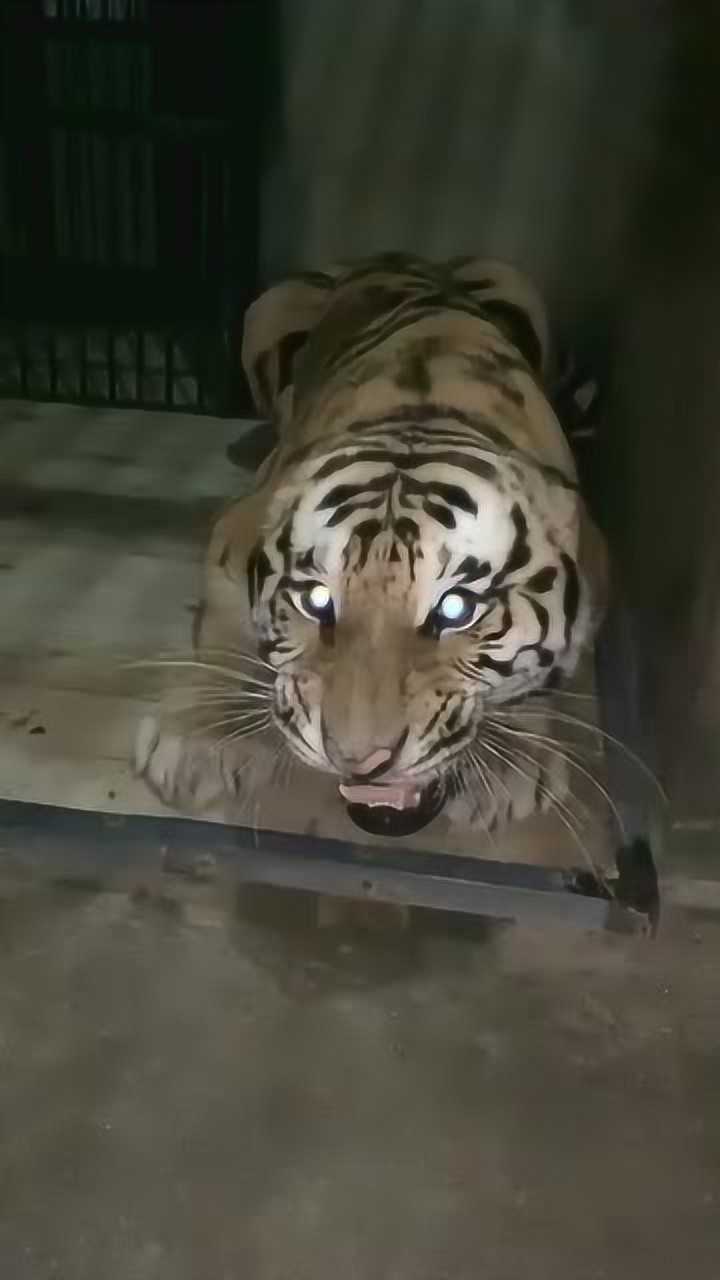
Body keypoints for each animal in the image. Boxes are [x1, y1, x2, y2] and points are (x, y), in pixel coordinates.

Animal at [135, 252, 609, 843]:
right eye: (317, 601)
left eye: (457, 610)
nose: (360, 759)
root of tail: (399, 256)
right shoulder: (236, 530)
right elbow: (225, 627)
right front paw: (201, 738)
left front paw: (508, 769)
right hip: (267, 310)